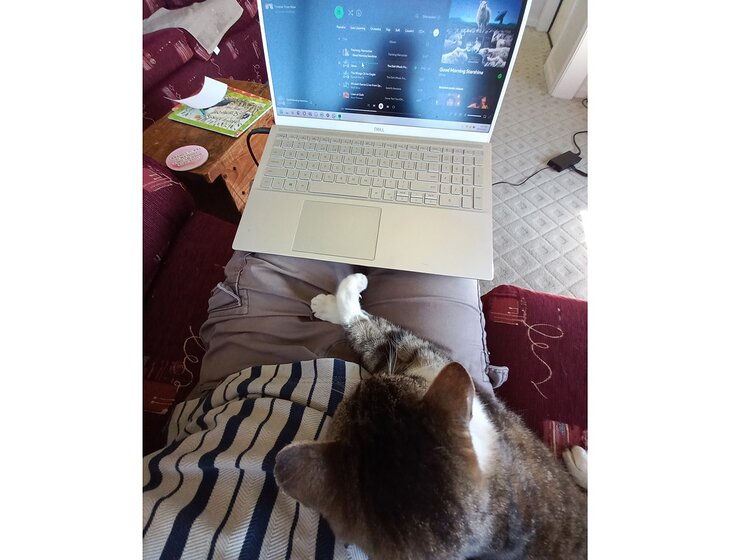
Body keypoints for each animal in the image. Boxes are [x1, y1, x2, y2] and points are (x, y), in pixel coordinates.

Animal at [275, 274, 587, 560]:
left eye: (361, 391)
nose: (368, 381)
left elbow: (380, 335)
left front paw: (338, 296)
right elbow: (379, 336)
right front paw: (341, 296)